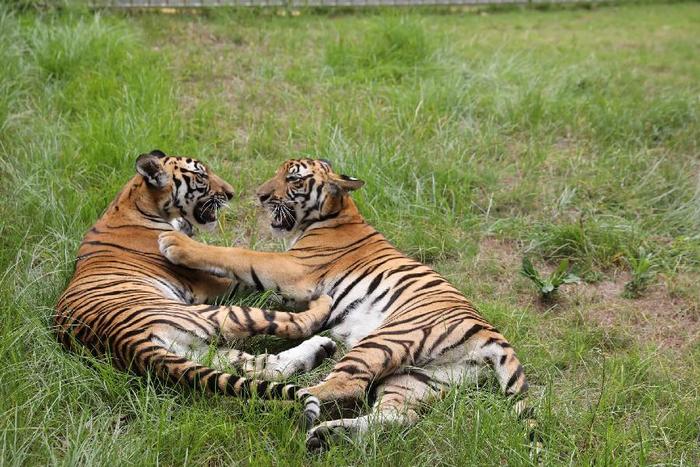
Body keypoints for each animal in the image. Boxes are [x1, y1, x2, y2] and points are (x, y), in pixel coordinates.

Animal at [52, 151, 336, 428]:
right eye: (201, 175)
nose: (231, 193)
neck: (132, 200)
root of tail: (127, 343)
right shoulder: (210, 282)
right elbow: (250, 274)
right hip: (217, 313)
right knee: (292, 325)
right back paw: (322, 305)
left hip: (204, 353)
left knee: (258, 366)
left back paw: (322, 348)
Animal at [159, 158, 540, 454]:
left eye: (293, 178)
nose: (261, 195)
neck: (336, 213)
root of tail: (490, 334)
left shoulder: (293, 268)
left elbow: (238, 255)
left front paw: (176, 243)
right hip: (419, 378)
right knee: (397, 416)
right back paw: (329, 435)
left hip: (386, 338)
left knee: (345, 385)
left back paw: (276, 403)